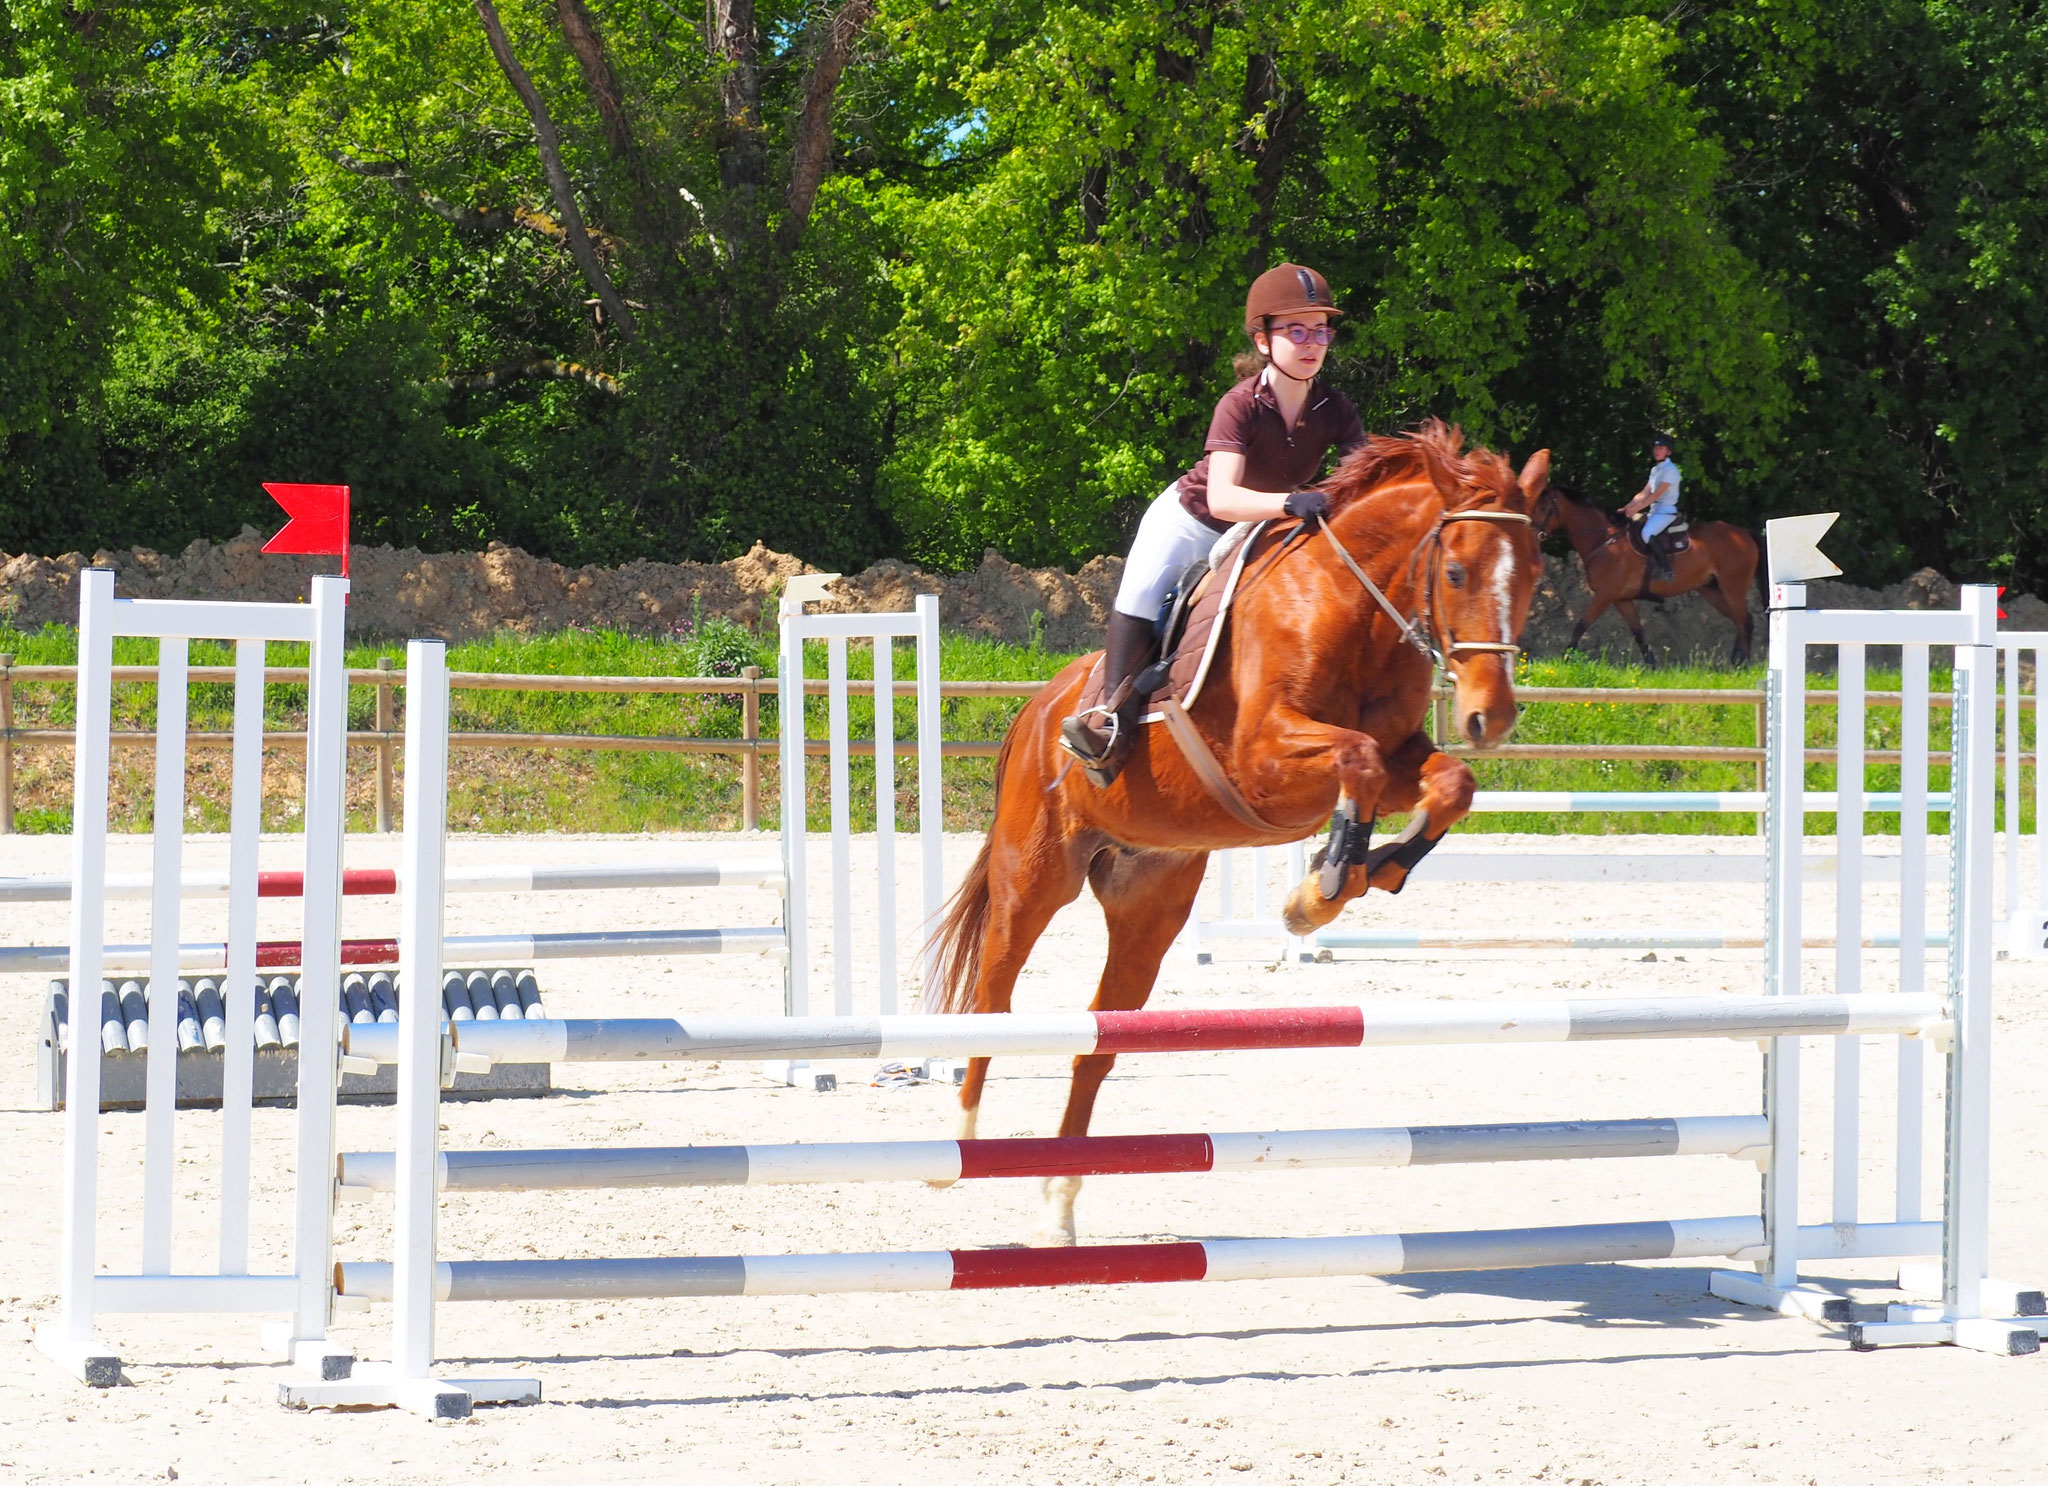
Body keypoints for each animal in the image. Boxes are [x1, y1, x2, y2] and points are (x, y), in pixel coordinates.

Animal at [921, 419, 1540, 1244]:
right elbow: (1359, 756)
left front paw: (1356, 876)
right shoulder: (1263, 760)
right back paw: (953, 1148)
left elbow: (1446, 784)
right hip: (1034, 877)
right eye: (1459, 572)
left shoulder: (1398, 757)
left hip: (1148, 905)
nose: (1489, 718)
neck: (1355, 609)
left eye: (1533, 575)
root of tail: (1040, 708)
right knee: (992, 999)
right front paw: (1323, 887)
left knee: (1097, 1044)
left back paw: (1057, 1208)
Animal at [1540, 485, 1761, 667]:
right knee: (1738, 620)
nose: (1536, 532)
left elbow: (1581, 625)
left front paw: (1565, 659)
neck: (1604, 540)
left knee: (1745, 620)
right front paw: (1652, 666)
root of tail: (1743, 533)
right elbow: (1639, 633)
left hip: (1733, 586)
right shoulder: (1621, 599)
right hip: (1711, 589)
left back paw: (1742, 663)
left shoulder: (1604, 595)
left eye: (1542, 508)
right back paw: (1736, 660)